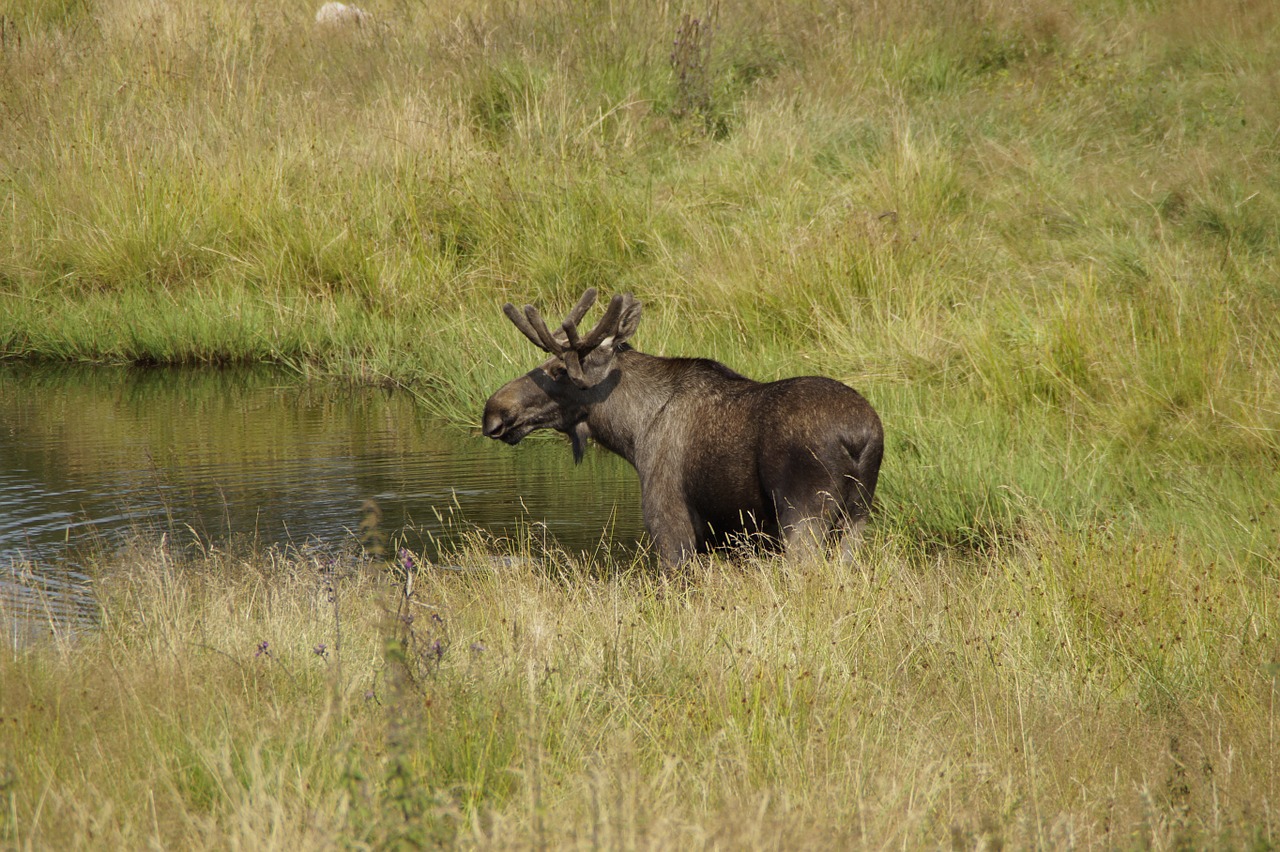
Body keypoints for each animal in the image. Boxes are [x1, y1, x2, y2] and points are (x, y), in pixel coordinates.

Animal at [481, 289, 880, 568]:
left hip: (803, 517)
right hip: (857, 517)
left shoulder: (670, 528)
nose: (494, 412)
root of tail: (859, 438)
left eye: (558, 370)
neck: (632, 431)